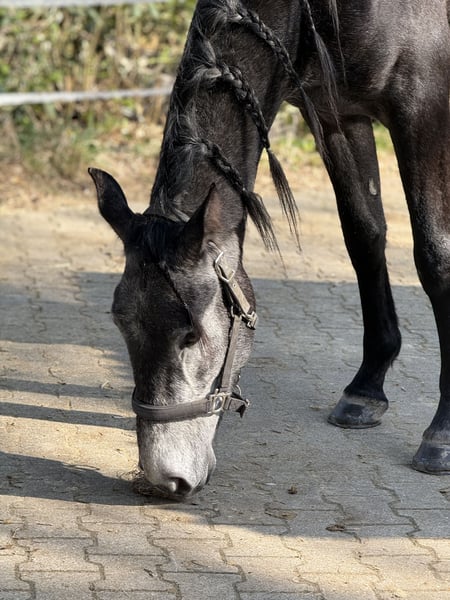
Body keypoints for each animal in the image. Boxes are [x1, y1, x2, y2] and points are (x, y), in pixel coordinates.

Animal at [89, 0, 450, 501]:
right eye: (121, 325)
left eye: (192, 335)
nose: (166, 479)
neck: (311, 14)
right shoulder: (339, 116)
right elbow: (365, 238)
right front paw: (366, 389)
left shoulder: (424, 111)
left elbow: (435, 257)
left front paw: (442, 433)